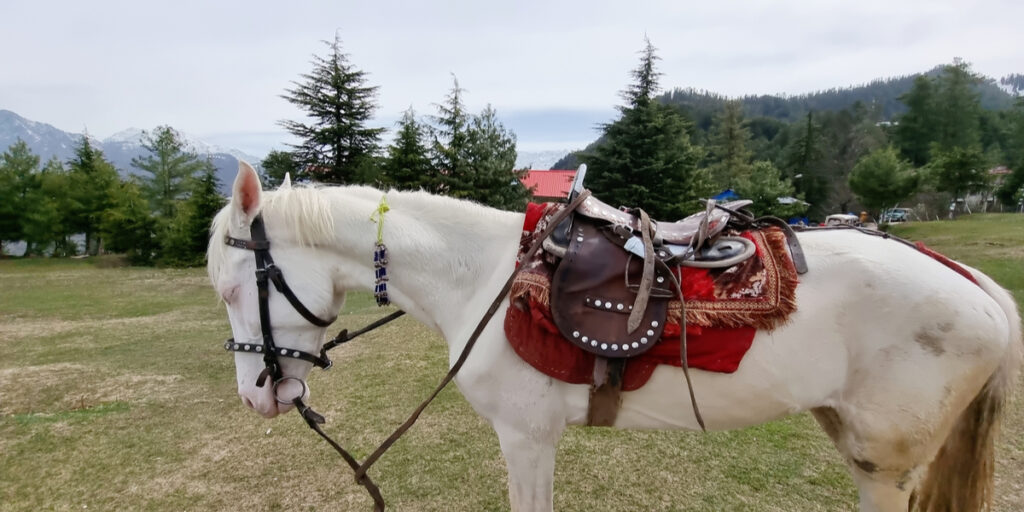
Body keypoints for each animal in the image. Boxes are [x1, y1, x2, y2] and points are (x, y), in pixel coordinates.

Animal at [209, 163, 1024, 512]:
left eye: (231, 289)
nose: (258, 395)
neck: (480, 278)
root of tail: (974, 283)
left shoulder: (526, 437)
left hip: (886, 464)